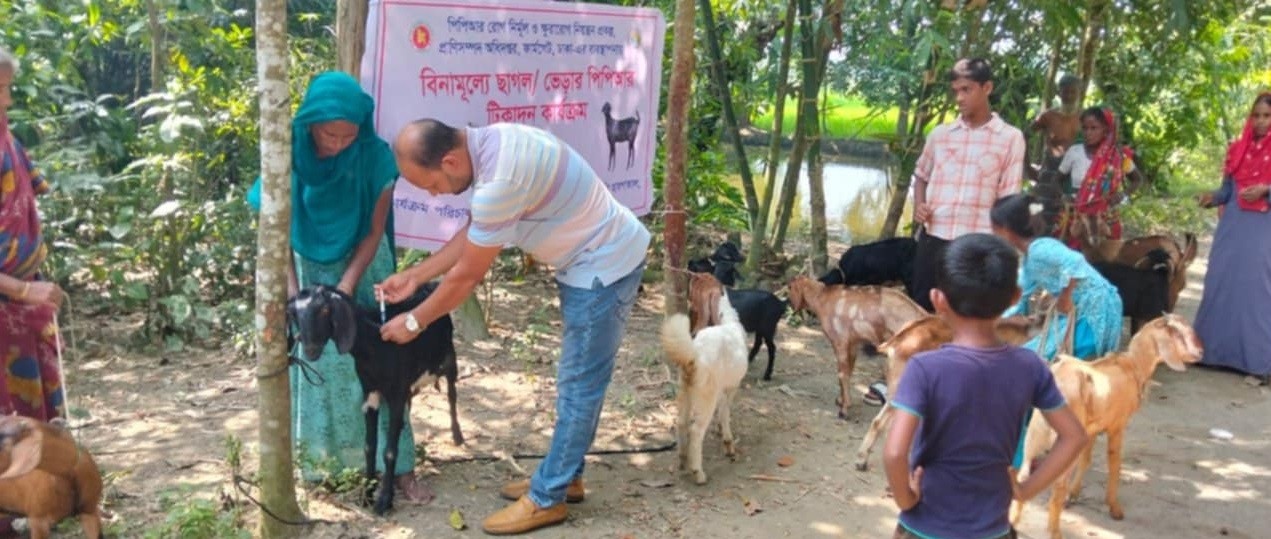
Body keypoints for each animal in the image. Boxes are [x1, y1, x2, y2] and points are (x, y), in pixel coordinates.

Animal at [289, 282, 462, 513]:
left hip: (449, 358)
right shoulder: (370, 393)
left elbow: (389, 451)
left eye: (325, 309)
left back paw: (457, 435)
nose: (310, 350)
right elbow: (369, 447)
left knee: (452, 392)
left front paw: (384, 500)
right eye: (295, 313)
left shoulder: (396, 393)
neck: (375, 344)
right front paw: (367, 494)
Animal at [782, 275, 925, 419]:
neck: (821, 296)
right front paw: (842, 400)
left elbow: (842, 375)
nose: (788, 304)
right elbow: (848, 372)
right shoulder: (853, 345)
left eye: (789, 287)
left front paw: (844, 410)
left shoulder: (840, 343)